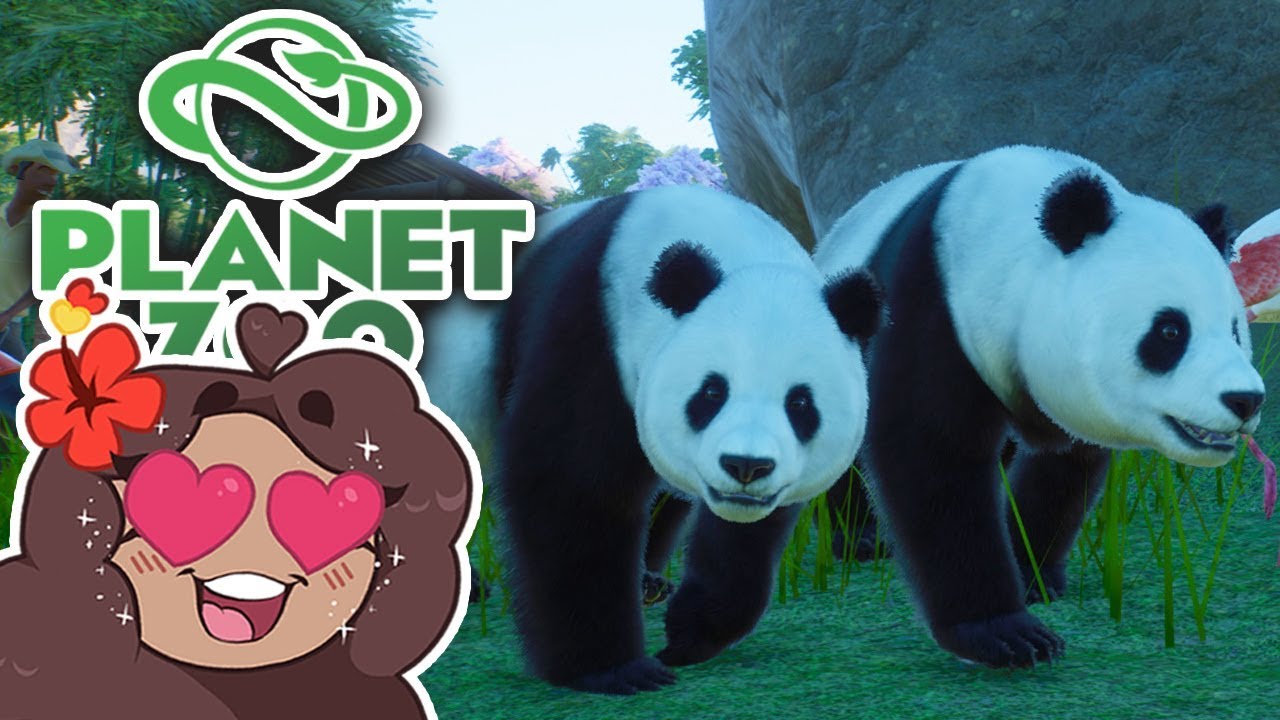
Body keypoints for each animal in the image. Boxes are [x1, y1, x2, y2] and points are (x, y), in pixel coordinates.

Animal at [421, 184, 883, 694]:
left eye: (800, 403)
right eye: (711, 391)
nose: (745, 466)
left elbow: (746, 534)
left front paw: (688, 636)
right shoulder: (591, 331)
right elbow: (572, 484)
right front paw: (614, 670)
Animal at [813, 145, 1265, 668]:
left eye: (1234, 329)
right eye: (1171, 330)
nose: (1245, 399)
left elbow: (1063, 472)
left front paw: (1031, 573)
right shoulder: (930, 305)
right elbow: (931, 455)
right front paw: (1003, 633)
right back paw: (861, 538)